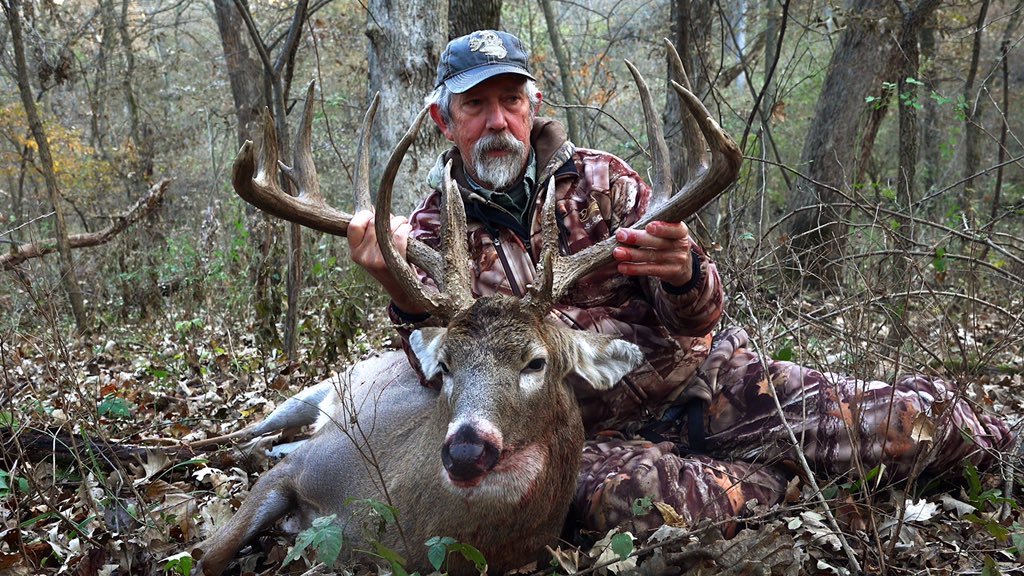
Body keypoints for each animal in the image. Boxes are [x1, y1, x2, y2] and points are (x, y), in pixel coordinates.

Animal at [194, 42, 742, 575]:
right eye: (446, 364)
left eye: (536, 362)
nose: (465, 450)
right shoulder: (301, 468)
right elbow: (207, 556)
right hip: (319, 389)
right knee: (238, 434)